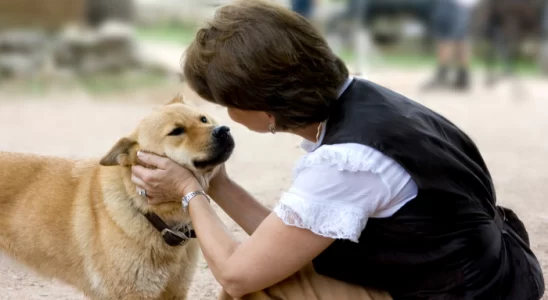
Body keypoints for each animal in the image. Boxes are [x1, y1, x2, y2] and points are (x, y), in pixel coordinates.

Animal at [0, 94, 233, 300]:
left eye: (203, 119)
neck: (148, 212)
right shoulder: (132, 293)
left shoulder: (175, 292)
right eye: (176, 131)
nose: (223, 130)